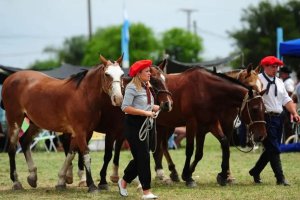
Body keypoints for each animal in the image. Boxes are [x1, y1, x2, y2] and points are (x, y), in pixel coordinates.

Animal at [0, 54, 124, 192]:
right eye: (107, 74)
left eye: (122, 74)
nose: (118, 99)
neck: (84, 95)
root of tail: (10, 78)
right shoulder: (80, 131)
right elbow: (86, 155)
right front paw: (91, 185)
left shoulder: (85, 132)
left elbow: (71, 153)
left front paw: (61, 180)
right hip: (15, 120)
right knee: (12, 148)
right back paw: (16, 182)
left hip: (35, 122)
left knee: (24, 141)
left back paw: (32, 176)